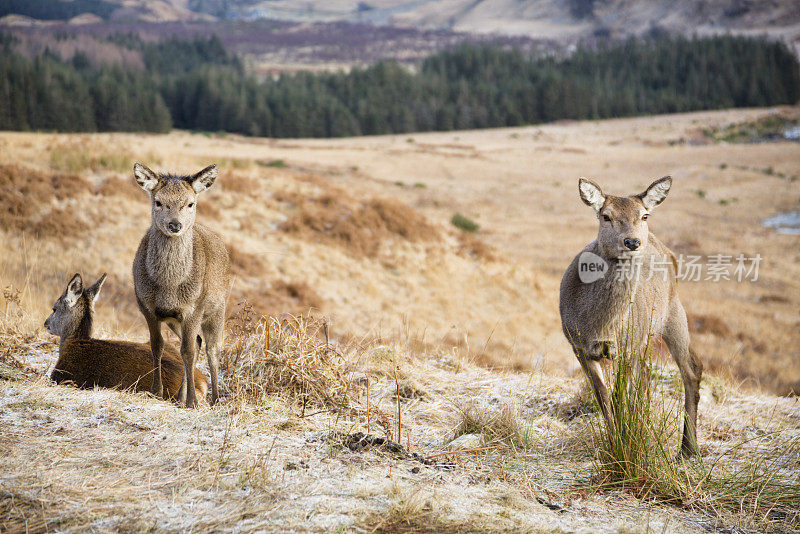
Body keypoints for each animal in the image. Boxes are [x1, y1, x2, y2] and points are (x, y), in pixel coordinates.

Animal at [132, 161, 231, 408]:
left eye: (190, 203)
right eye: (158, 201)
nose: (174, 225)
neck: (169, 287)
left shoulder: (195, 308)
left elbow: (186, 351)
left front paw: (193, 402)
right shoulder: (146, 306)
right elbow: (157, 346)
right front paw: (156, 391)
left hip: (218, 307)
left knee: (212, 349)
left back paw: (215, 398)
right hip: (174, 319)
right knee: (197, 341)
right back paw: (179, 397)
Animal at [560, 176, 704, 456]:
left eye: (644, 215)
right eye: (605, 216)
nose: (633, 242)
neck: (599, 325)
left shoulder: (626, 346)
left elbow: (620, 398)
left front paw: (623, 447)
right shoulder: (578, 346)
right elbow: (604, 397)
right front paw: (613, 445)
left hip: (673, 312)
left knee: (692, 368)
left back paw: (687, 449)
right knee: (648, 372)